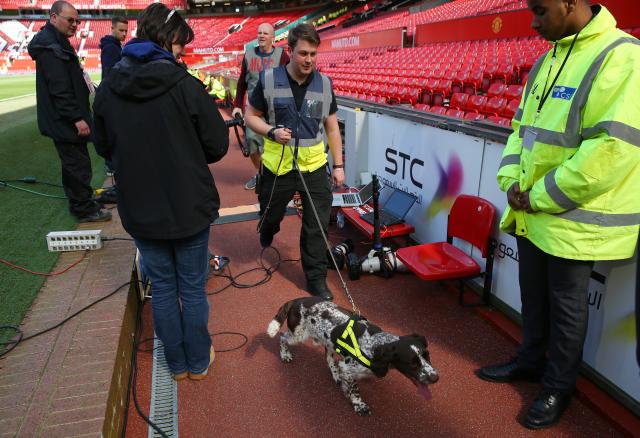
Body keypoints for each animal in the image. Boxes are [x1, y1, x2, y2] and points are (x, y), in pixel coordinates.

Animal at [266, 296, 440, 416]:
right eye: (412, 363)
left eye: (427, 355)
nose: (435, 378)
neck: (377, 345)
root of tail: (297, 300)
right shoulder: (348, 368)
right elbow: (355, 390)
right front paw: (359, 405)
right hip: (298, 336)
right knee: (282, 337)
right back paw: (285, 354)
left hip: (328, 342)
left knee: (329, 358)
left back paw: (336, 375)